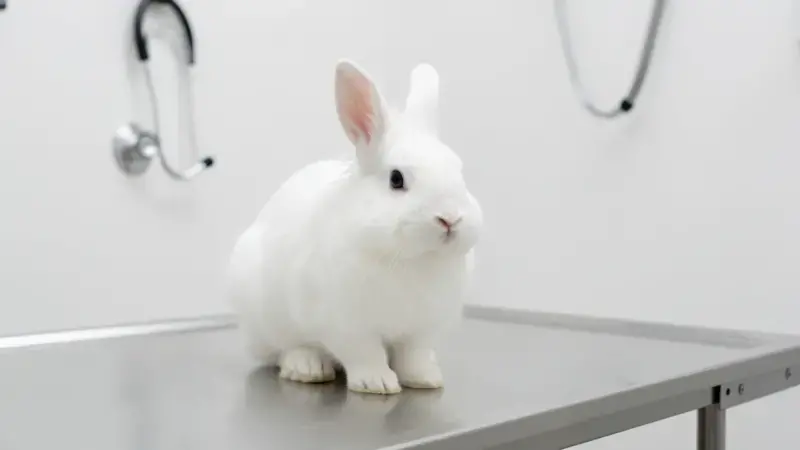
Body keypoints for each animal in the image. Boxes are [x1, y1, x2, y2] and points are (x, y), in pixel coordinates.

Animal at [227, 60, 483, 395]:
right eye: (396, 178)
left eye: (459, 171)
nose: (450, 218)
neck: (412, 259)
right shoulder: (346, 325)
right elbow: (365, 354)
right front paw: (378, 383)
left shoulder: (422, 330)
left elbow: (414, 357)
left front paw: (426, 379)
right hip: (266, 319)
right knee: (283, 351)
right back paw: (308, 367)